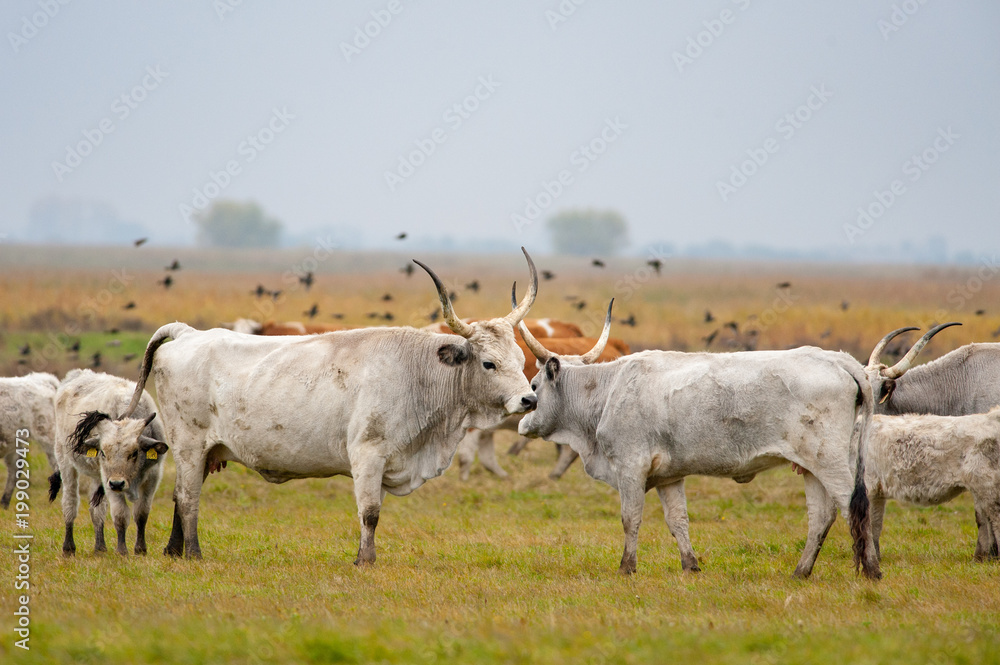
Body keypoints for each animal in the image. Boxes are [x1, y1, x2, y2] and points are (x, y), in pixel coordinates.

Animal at [48, 369, 168, 556]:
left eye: (134, 453)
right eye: (103, 453)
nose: (117, 483)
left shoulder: (153, 478)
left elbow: (141, 513)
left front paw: (140, 549)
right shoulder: (109, 481)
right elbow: (120, 515)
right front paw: (122, 550)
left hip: (97, 476)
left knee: (97, 510)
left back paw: (100, 547)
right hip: (65, 461)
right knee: (70, 503)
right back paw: (68, 547)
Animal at [120, 250, 540, 565]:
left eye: (522, 358)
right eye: (489, 363)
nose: (530, 399)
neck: (417, 373)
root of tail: (189, 332)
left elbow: (372, 512)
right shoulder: (367, 455)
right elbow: (369, 512)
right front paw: (365, 561)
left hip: (205, 452)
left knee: (180, 497)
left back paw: (173, 552)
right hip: (189, 445)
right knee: (188, 498)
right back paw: (192, 553)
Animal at [517, 301, 881, 580]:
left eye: (534, 386)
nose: (521, 418)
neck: (609, 390)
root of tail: (837, 358)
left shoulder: (630, 468)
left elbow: (630, 518)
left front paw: (626, 568)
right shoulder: (669, 477)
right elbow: (678, 521)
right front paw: (690, 566)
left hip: (829, 462)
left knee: (852, 508)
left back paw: (871, 570)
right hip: (810, 467)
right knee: (820, 517)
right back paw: (801, 572)